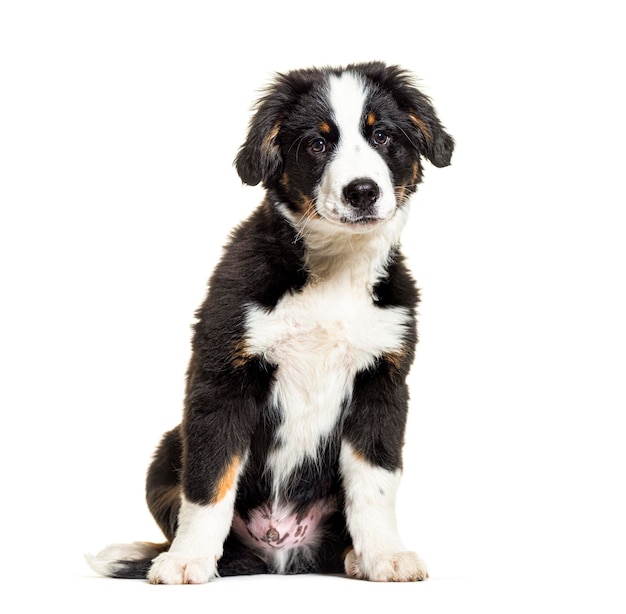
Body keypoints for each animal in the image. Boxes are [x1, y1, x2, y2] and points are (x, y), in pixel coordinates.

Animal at [85, 62, 450, 588]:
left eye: (382, 135)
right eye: (316, 144)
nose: (362, 191)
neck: (335, 269)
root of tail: (280, 552)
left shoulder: (383, 382)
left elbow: (374, 482)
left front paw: (385, 554)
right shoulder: (222, 378)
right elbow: (210, 479)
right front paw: (186, 560)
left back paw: (354, 556)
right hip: (167, 445)